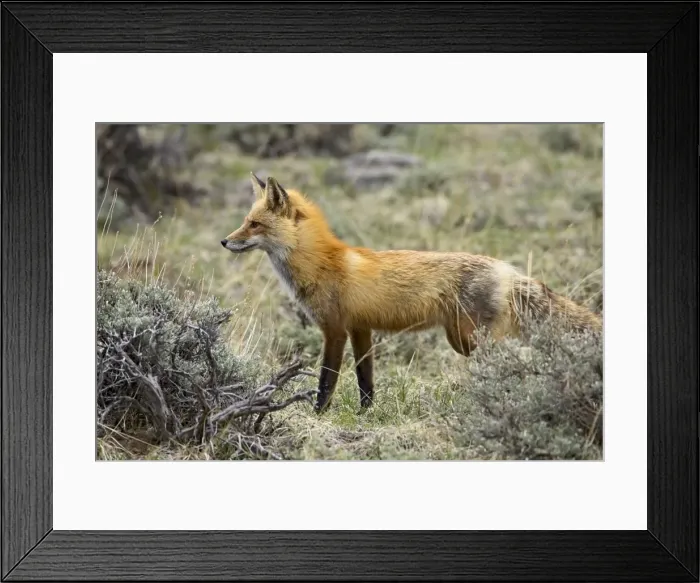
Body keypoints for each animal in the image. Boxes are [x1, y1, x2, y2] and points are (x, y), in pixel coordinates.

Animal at [221, 173, 602, 414]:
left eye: (254, 224)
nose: (224, 241)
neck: (322, 263)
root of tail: (507, 270)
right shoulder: (360, 329)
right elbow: (365, 380)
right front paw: (366, 415)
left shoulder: (334, 330)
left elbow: (327, 381)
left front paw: (318, 415)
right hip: (462, 339)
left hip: (471, 340)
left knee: (518, 360)